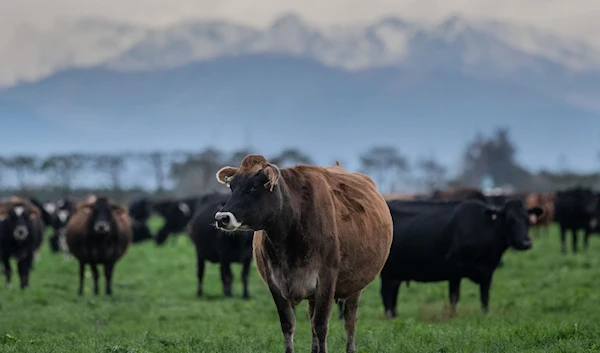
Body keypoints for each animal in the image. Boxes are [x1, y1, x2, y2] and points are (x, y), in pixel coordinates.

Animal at [214, 155, 394, 352]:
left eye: (253, 187)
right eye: (232, 187)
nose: (221, 218)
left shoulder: (327, 280)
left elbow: (321, 325)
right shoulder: (275, 282)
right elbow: (288, 324)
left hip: (356, 284)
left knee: (350, 321)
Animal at [380, 199, 544, 318]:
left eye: (528, 220)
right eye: (510, 219)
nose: (526, 243)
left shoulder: (488, 272)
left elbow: (485, 296)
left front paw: (485, 314)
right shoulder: (454, 269)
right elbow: (454, 296)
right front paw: (453, 316)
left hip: (396, 272)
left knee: (393, 293)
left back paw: (395, 315)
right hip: (386, 271)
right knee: (386, 292)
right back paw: (389, 316)